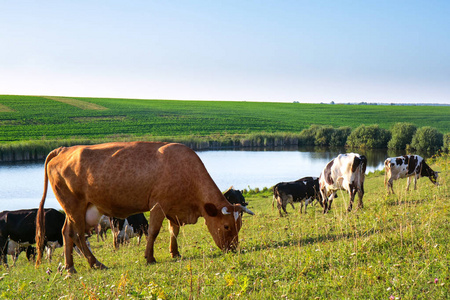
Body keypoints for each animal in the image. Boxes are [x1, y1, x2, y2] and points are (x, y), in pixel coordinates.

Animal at [35, 142, 253, 274]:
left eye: (239, 226)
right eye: (226, 226)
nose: (233, 249)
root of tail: (63, 149)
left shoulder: (174, 208)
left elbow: (174, 231)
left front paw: (175, 253)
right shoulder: (158, 204)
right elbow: (154, 231)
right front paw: (150, 257)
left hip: (77, 209)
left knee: (67, 233)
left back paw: (70, 267)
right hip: (74, 206)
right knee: (78, 235)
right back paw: (94, 263)